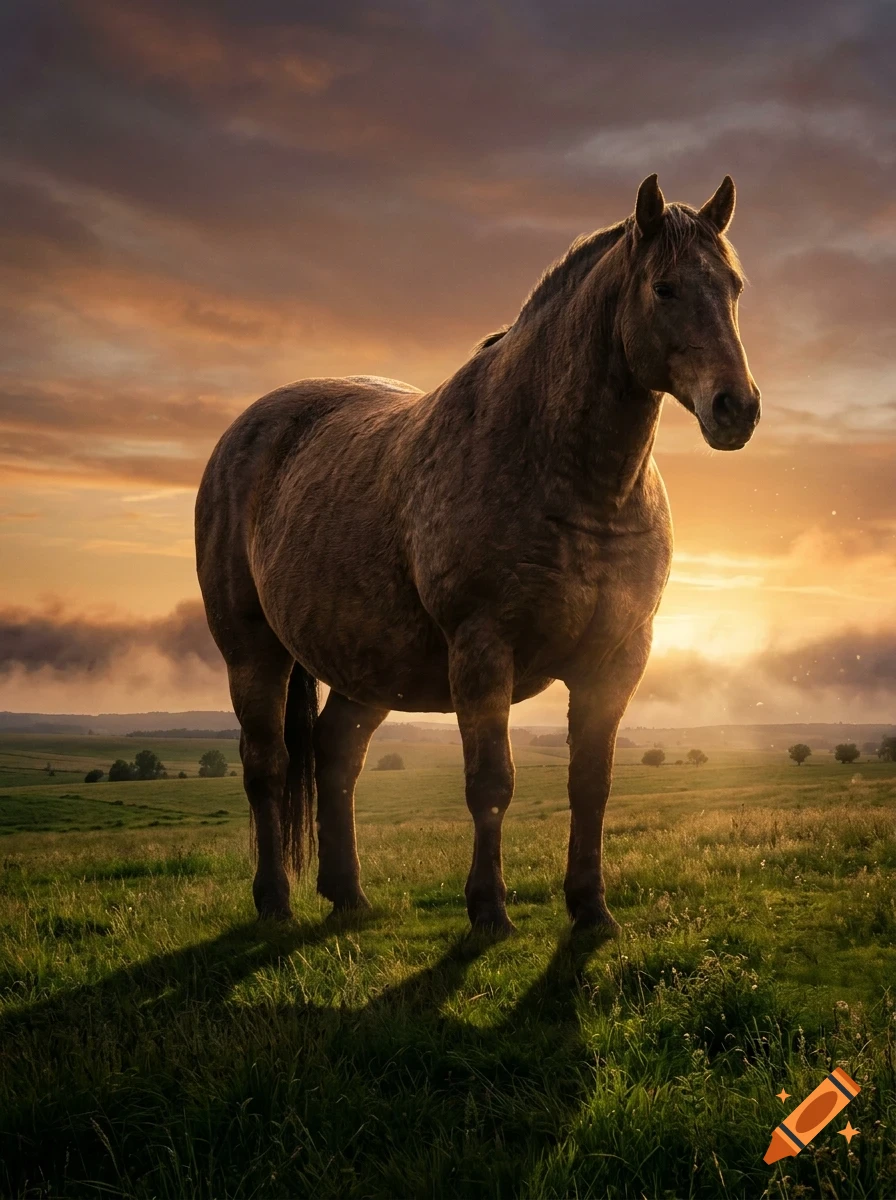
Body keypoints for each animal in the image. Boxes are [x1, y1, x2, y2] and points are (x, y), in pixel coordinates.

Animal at [195, 174, 760, 934]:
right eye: (664, 288)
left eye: (732, 287)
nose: (736, 408)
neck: (571, 480)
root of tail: (247, 429)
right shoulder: (483, 651)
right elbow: (491, 783)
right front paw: (489, 910)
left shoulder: (616, 660)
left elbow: (592, 783)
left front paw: (591, 909)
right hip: (253, 653)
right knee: (267, 767)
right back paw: (275, 902)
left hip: (366, 667)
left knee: (338, 755)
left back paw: (348, 894)